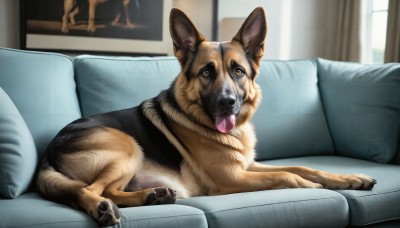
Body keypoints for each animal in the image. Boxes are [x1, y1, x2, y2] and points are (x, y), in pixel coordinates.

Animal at [36, 7, 376, 226]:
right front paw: (316, 189)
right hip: (129, 147)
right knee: (91, 190)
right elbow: (288, 175)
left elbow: (305, 166)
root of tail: (48, 154)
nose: (227, 103)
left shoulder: (248, 165)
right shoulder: (234, 177)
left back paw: (153, 197)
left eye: (238, 72)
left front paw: (350, 179)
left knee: (111, 191)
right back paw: (104, 209)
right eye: (206, 72)